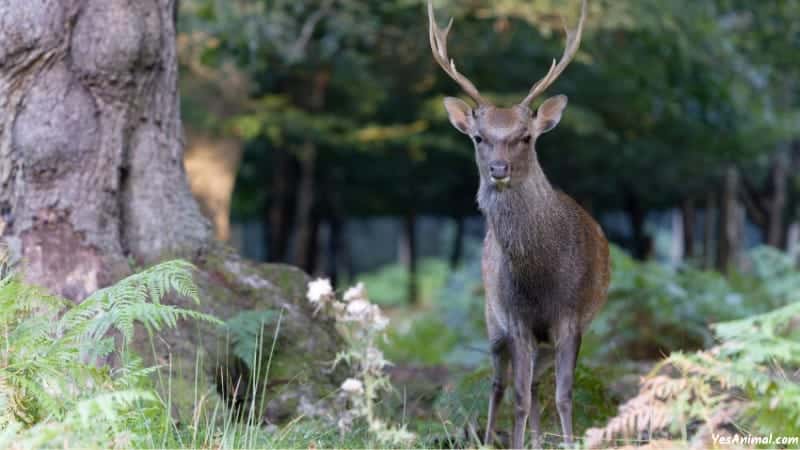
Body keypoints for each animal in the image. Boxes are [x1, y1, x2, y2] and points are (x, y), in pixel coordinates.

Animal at [428, 0, 608, 446]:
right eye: (479, 137)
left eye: (525, 136)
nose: (498, 169)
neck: (542, 278)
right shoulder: (516, 320)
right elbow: (520, 398)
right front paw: (516, 440)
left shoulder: (571, 318)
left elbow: (563, 395)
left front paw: (565, 441)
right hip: (492, 320)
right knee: (500, 384)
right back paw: (491, 437)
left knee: (538, 385)